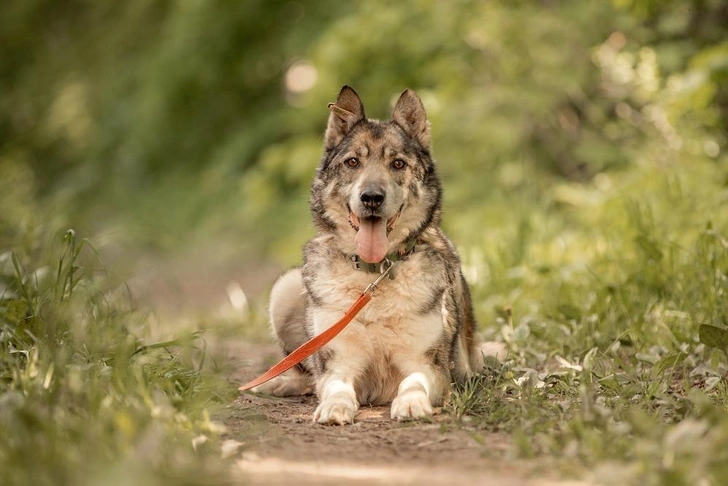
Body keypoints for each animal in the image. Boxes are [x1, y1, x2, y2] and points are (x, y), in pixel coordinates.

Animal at [253, 87, 486, 426]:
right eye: (353, 162)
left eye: (398, 164)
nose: (372, 198)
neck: (375, 272)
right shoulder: (339, 361)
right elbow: (334, 386)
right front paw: (334, 406)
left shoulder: (429, 364)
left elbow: (413, 381)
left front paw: (411, 403)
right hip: (285, 289)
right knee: (304, 371)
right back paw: (281, 383)